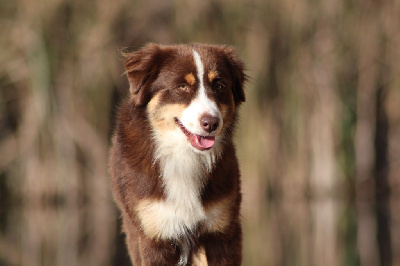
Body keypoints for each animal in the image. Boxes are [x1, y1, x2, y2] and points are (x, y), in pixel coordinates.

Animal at [110, 42, 247, 264]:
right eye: (182, 87)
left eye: (219, 86)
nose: (211, 123)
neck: (184, 156)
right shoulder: (155, 232)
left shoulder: (223, 230)